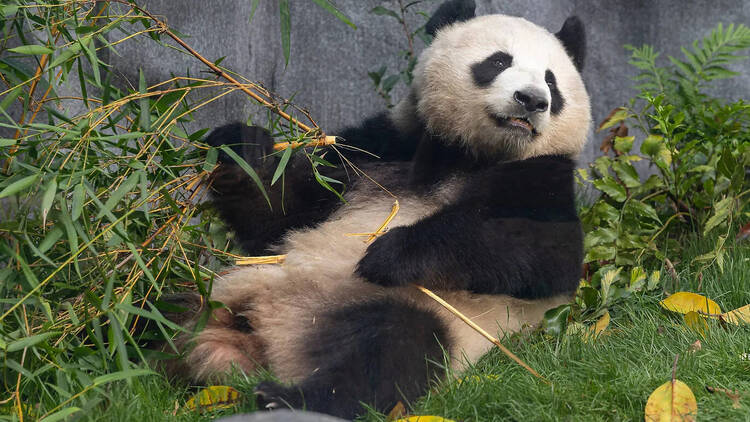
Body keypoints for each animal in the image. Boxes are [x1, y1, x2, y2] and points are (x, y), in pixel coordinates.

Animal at [164, 0, 592, 416]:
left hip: (410, 312)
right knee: (157, 311)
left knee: (391, 349)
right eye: (499, 61)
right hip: (215, 293)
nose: (533, 100)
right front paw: (240, 149)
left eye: (551, 80)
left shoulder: (543, 178)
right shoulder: (378, 149)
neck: (469, 155)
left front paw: (389, 253)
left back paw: (286, 398)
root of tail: (262, 341)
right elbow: (278, 216)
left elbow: (545, 252)